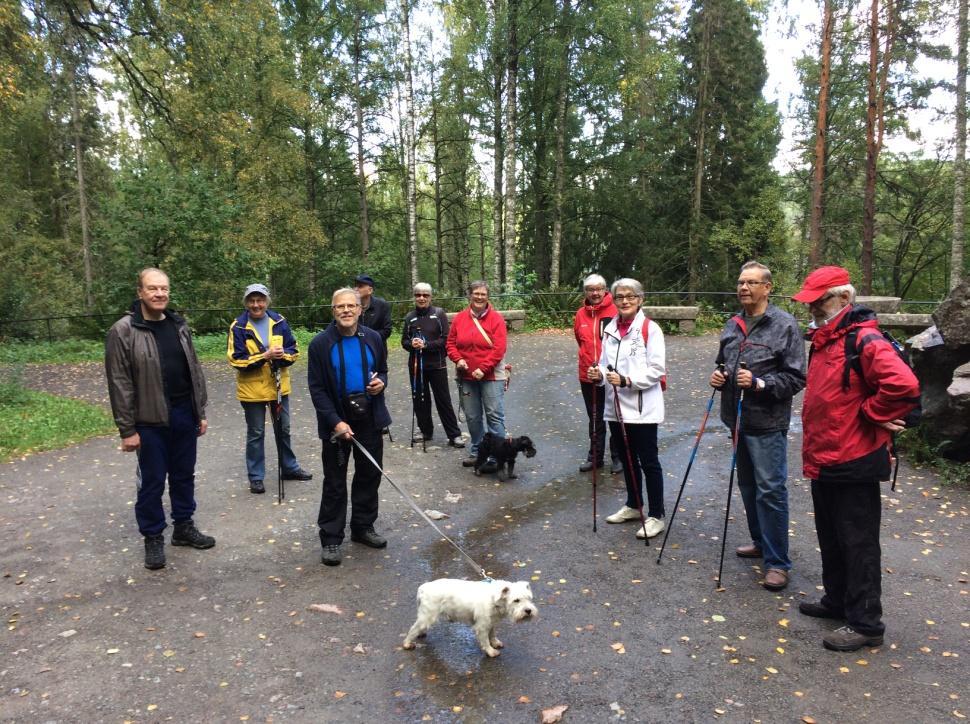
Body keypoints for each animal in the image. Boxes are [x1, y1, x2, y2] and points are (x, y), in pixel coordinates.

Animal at [400, 576, 536, 656]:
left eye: (529, 599)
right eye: (516, 600)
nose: (528, 611)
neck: (494, 598)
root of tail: (423, 588)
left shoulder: (491, 622)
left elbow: (492, 634)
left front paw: (495, 643)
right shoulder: (481, 626)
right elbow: (485, 640)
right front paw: (490, 651)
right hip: (427, 616)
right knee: (413, 629)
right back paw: (407, 644)